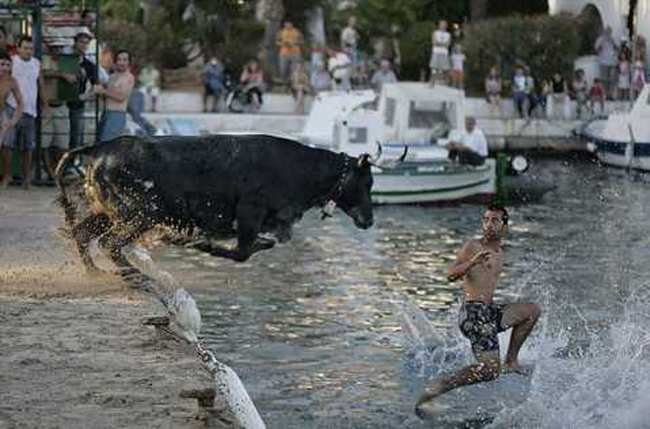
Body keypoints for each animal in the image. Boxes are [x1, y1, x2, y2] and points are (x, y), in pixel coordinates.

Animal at [56, 135, 374, 284]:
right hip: (145, 211)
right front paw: (199, 244)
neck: (302, 169)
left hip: (108, 211)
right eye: (367, 183)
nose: (369, 221)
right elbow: (242, 252)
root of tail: (100, 148)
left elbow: (258, 246)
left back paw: (94, 272)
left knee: (82, 233)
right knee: (110, 242)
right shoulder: (249, 212)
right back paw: (138, 275)